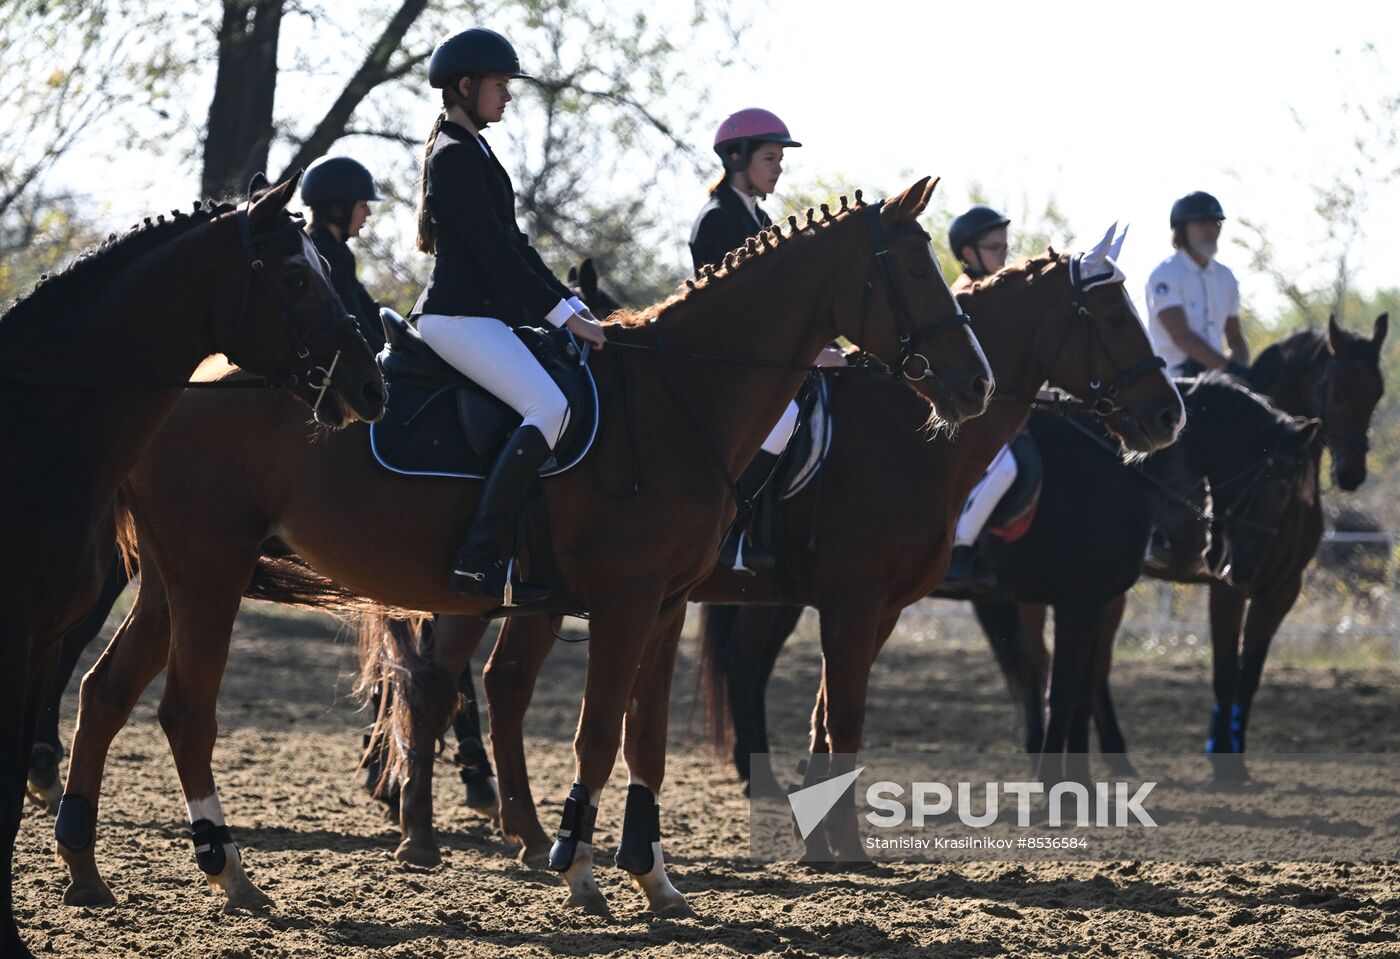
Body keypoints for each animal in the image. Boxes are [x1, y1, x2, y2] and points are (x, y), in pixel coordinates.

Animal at [57, 179, 996, 918]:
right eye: (916, 270)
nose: (976, 383)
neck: (679, 395)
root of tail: (179, 380)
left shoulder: (666, 607)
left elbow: (648, 739)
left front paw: (653, 878)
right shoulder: (625, 603)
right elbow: (597, 734)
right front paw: (581, 871)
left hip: (174, 581)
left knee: (104, 693)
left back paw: (83, 866)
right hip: (210, 575)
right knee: (188, 710)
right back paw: (234, 875)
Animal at [372, 235, 1192, 862]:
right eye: (1112, 316)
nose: (1167, 416)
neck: (902, 432)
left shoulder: (877, 607)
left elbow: (832, 711)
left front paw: (819, 827)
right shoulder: (861, 600)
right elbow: (850, 711)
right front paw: (842, 844)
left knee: (487, 682)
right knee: (435, 681)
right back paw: (421, 829)